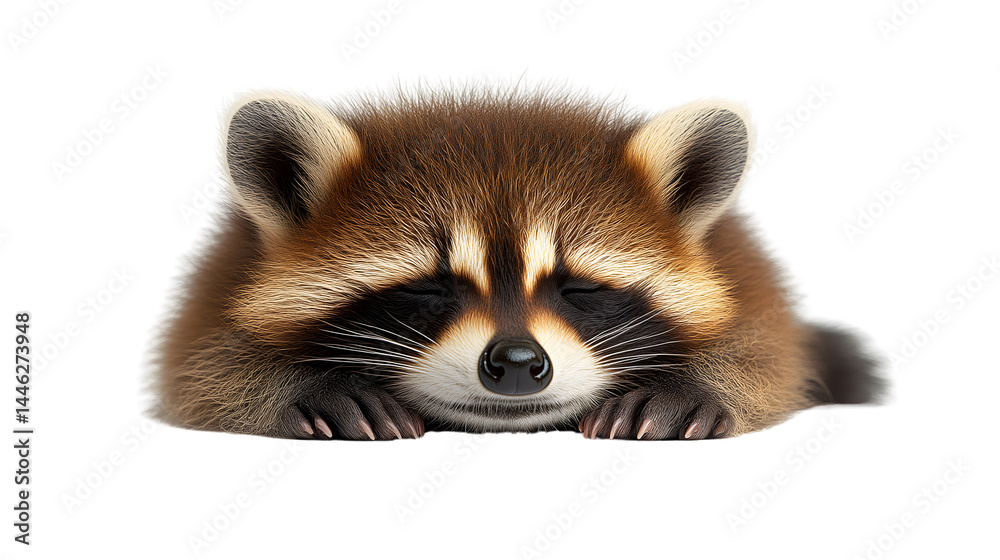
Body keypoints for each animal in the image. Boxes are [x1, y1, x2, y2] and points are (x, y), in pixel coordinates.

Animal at [154, 87, 882, 440]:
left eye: (577, 287)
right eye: (433, 286)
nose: (515, 363)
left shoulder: (746, 276)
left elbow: (768, 354)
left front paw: (693, 384)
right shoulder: (221, 276)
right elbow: (201, 367)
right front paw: (304, 385)